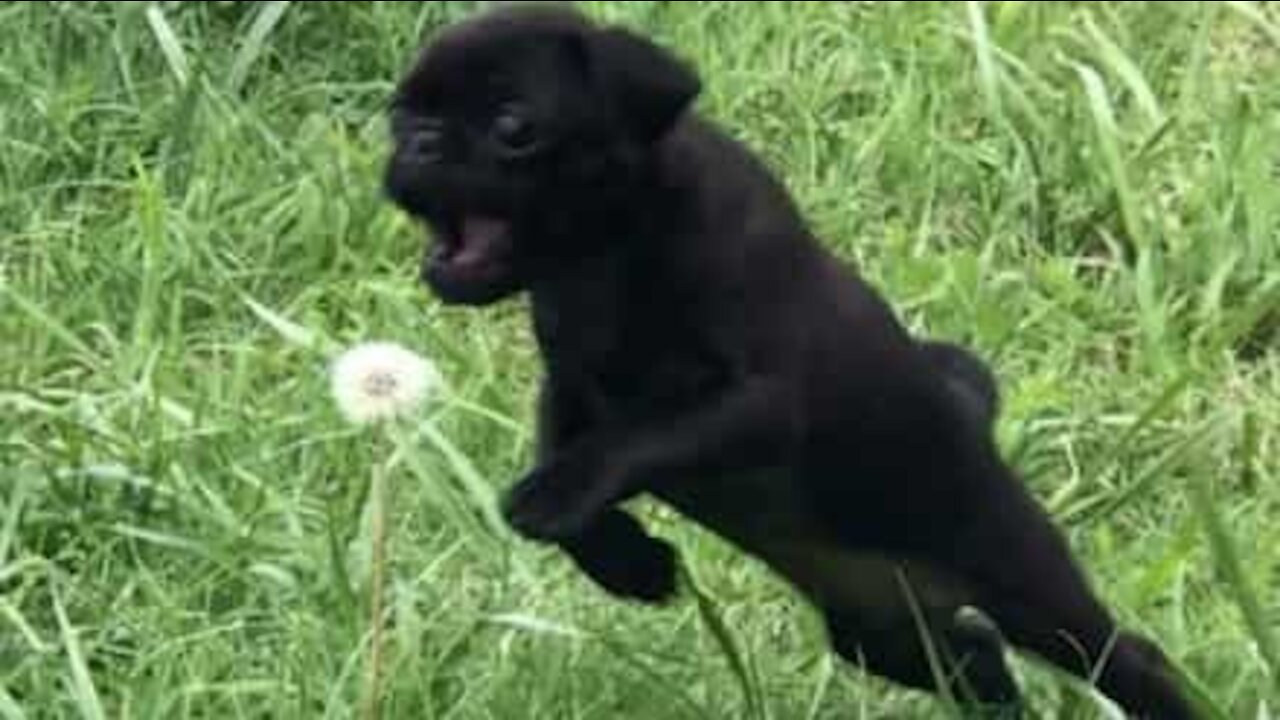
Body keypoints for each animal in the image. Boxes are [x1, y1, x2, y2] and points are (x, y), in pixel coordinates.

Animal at [384, 4, 1192, 712]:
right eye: (400, 117)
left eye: (513, 128)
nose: (419, 143)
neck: (604, 256)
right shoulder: (571, 385)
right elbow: (567, 462)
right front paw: (628, 562)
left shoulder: (756, 403)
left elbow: (633, 438)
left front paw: (568, 505)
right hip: (883, 635)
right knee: (978, 665)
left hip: (1016, 576)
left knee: (1122, 657)